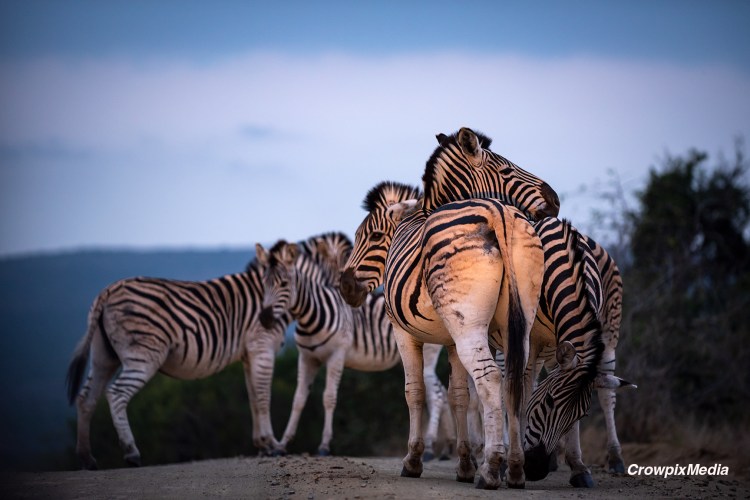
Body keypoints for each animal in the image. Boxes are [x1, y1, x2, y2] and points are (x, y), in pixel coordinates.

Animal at [65, 253, 291, 469]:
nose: (266, 318)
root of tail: (108, 291)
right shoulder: (262, 347)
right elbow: (263, 397)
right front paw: (272, 445)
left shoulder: (249, 355)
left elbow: (253, 397)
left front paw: (263, 445)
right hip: (143, 356)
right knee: (116, 393)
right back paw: (131, 453)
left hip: (103, 356)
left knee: (86, 399)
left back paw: (87, 459)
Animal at [256, 232, 452, 457]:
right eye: (264, 283)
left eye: (284, 284)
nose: (264, 318)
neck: (311, 313)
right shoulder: (307, 357)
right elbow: (298, 399)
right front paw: (282, 445)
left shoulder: (337, 355)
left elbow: (329, 397)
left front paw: (324, 446)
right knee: (442, 393)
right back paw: (446, 447)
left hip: (427, 354)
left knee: (436, 396)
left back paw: (429, 448)